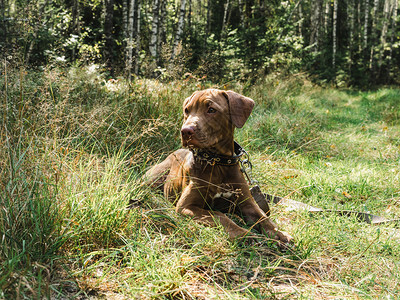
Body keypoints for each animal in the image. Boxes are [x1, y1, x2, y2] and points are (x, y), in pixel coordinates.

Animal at [145, 88, 292, 244]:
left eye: (211, 110)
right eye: (187, 110)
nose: (185, 131)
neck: (218, 163)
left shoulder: (247, 203)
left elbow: (263, 218)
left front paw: (280, 234)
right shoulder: (186, 207)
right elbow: (220, 216)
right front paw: (245, 234)